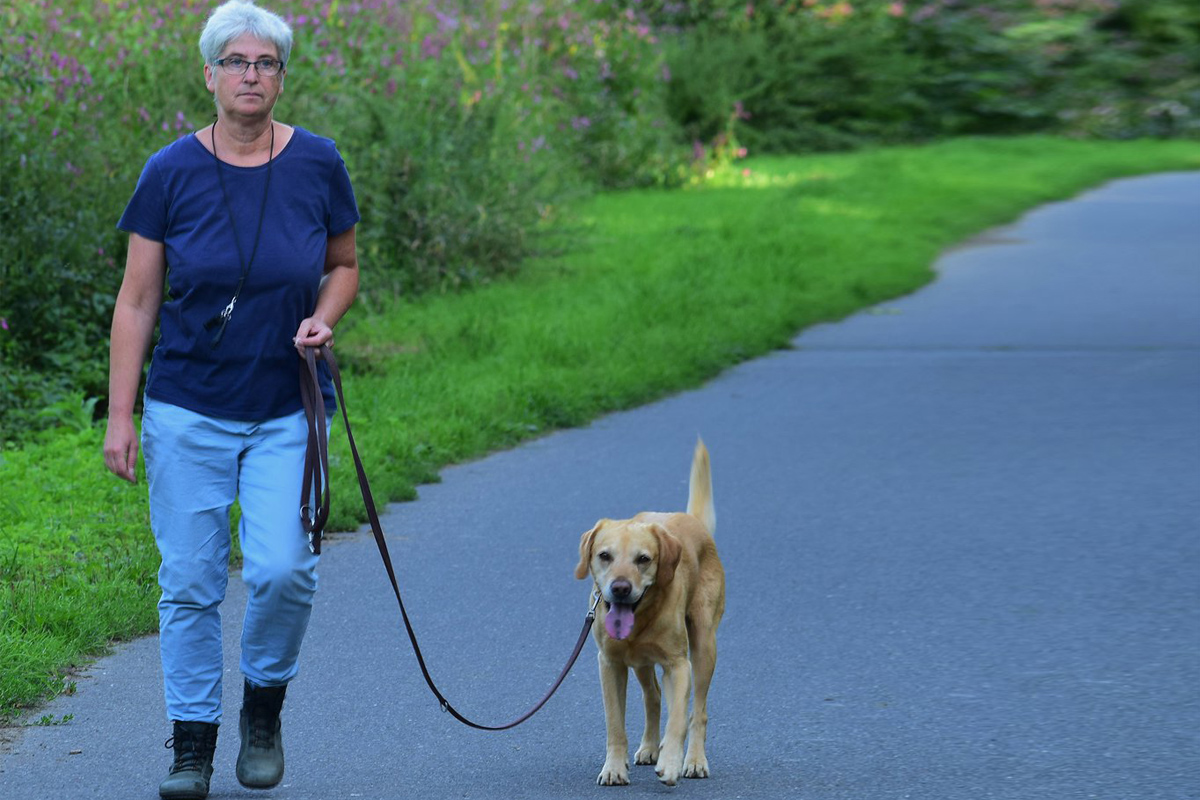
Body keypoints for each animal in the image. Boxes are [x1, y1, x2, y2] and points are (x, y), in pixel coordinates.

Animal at [576, 441, 724, 786]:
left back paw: (694, 759)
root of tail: (691, 519)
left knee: (698, 710)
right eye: (604, 555)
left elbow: (679, 719)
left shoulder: (679, 665)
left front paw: (671, 762)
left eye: (643, 559)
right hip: (641, 663)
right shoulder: (610, 664)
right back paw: (649, 747)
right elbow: (615, 723)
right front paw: (614, 768)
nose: (620, 588)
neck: (642, 618)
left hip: (704, 645)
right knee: (653, 696)